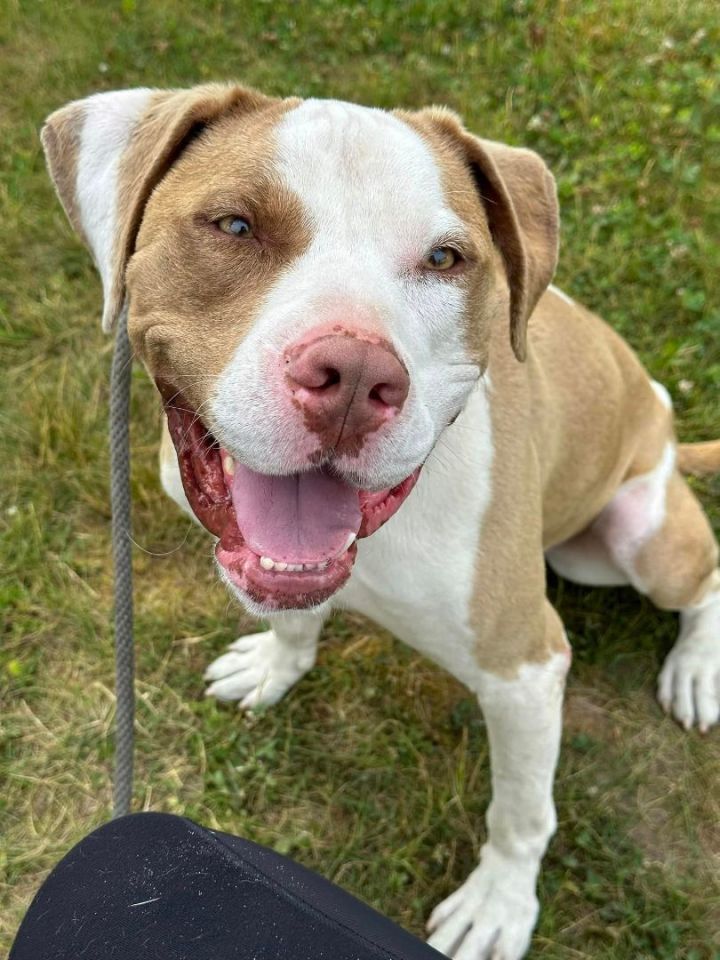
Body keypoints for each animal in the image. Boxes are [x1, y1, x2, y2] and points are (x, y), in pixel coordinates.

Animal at [42, 84, 716, 960]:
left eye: (445, 259)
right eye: (235, 226)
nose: (356, 376)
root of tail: (661, 413)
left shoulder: (526, 667)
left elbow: (521, 810)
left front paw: (499, 903)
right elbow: (296, 618)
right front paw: (276, 665)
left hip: (634, 541)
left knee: (705, 580)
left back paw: (695, 668)